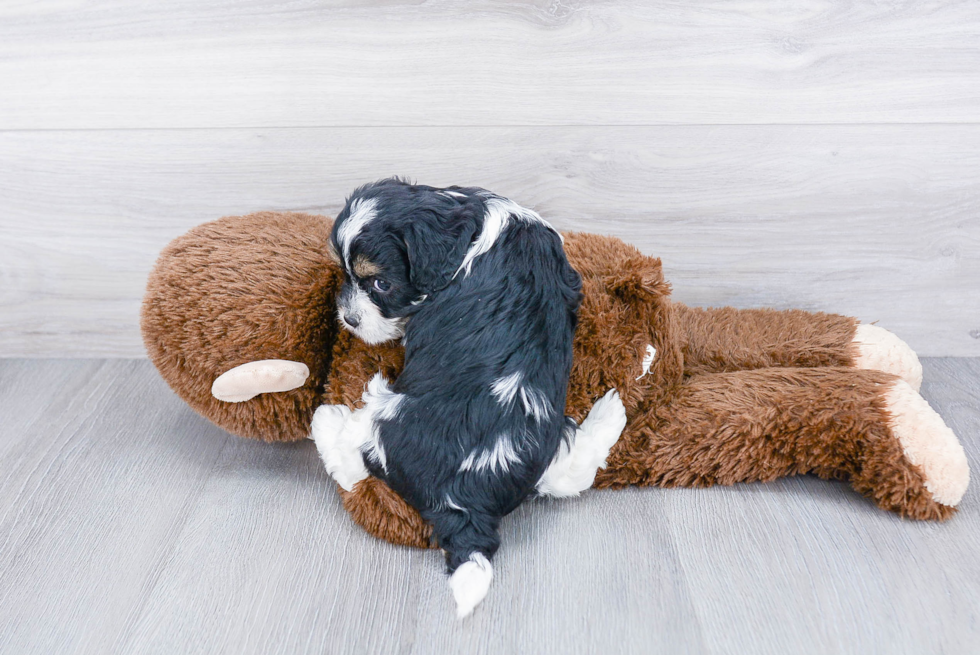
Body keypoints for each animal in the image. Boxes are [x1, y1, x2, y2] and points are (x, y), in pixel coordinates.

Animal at [314, 178, 628, 616]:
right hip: (546, 445)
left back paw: (326, 419)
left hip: (384, 415)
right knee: (571, 472)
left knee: (353, 460)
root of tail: (466, 500)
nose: (350, 319)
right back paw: (610, 412)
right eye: (344, 273)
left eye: (380, 284)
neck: (469, 219)